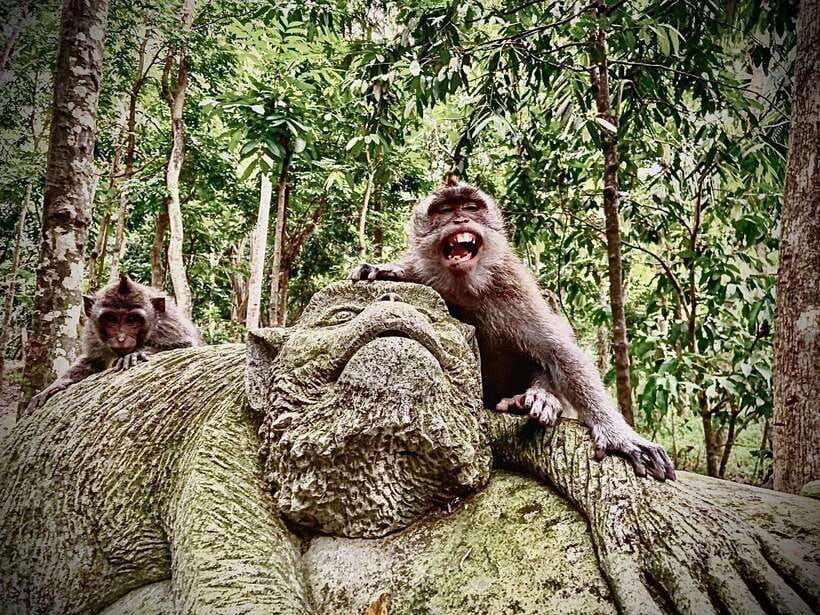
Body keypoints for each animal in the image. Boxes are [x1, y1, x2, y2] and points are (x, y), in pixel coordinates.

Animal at [25, 274, 203, 414]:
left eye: (132, 319)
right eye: (111, 319)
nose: (121, 338)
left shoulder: (169, 326)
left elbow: (185, 345)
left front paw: (136, 354)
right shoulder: (93, 334)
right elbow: (92, 361)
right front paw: (55, 385)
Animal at [351, 176, 675, 481]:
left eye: (471, 207)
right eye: (444, 210)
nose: (460, 220)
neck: (465, 286)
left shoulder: (512, 287)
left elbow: (559, 351)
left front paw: (618, 434)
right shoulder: (424, 275)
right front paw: (384, 269)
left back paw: (538, 399)